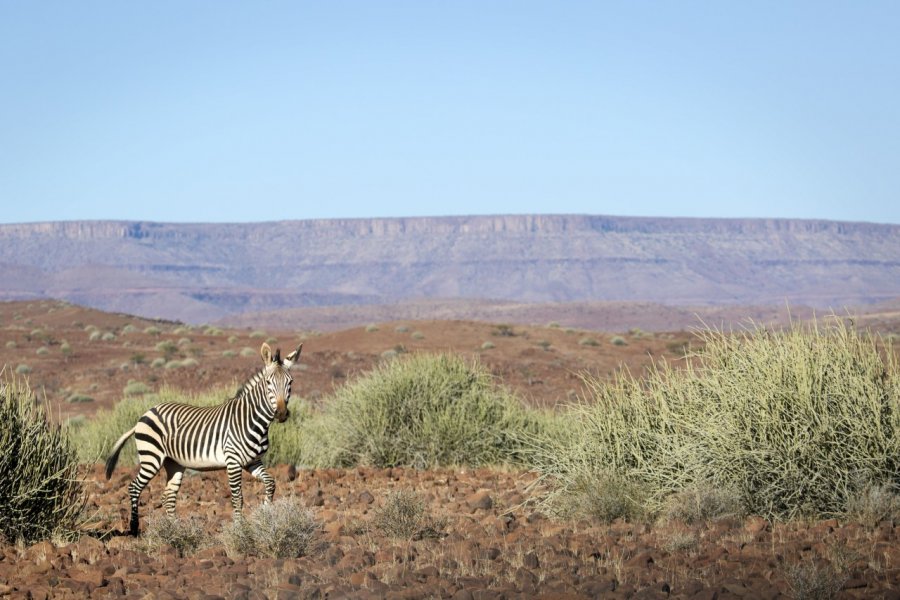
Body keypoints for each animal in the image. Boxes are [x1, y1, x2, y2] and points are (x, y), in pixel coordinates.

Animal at [105, 342, 302, 536]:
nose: (281, 413)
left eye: (290, 382)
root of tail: (145, 413)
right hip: (151, 457)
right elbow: (237, 498)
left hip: (174, 462)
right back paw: (134, 528)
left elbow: (270, 483)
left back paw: (175, 530)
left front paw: (266, 512)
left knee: (168, 495)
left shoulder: (252, 462)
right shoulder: (233, 461)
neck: (252, 420)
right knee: (134, 487)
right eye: (268, 382)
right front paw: (239, 529)